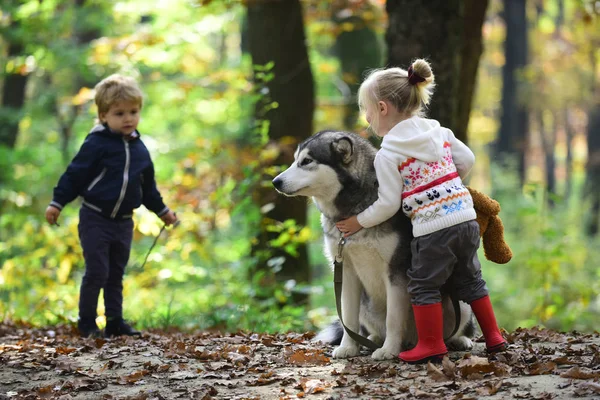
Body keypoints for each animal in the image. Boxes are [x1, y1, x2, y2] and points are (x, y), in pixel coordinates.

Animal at [272, 130, 474, 360]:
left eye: (306, 161)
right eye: (295, 160)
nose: (275, 181)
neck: (354, 210)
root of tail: (411, 341)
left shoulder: (395, 272)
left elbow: (393, 319)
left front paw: (388, 350)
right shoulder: (346, 271)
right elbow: (348, 318)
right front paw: (349, 347)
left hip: (461, 304)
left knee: (454, 329)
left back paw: (458, 339)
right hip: (364, 304)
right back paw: (373, 339)